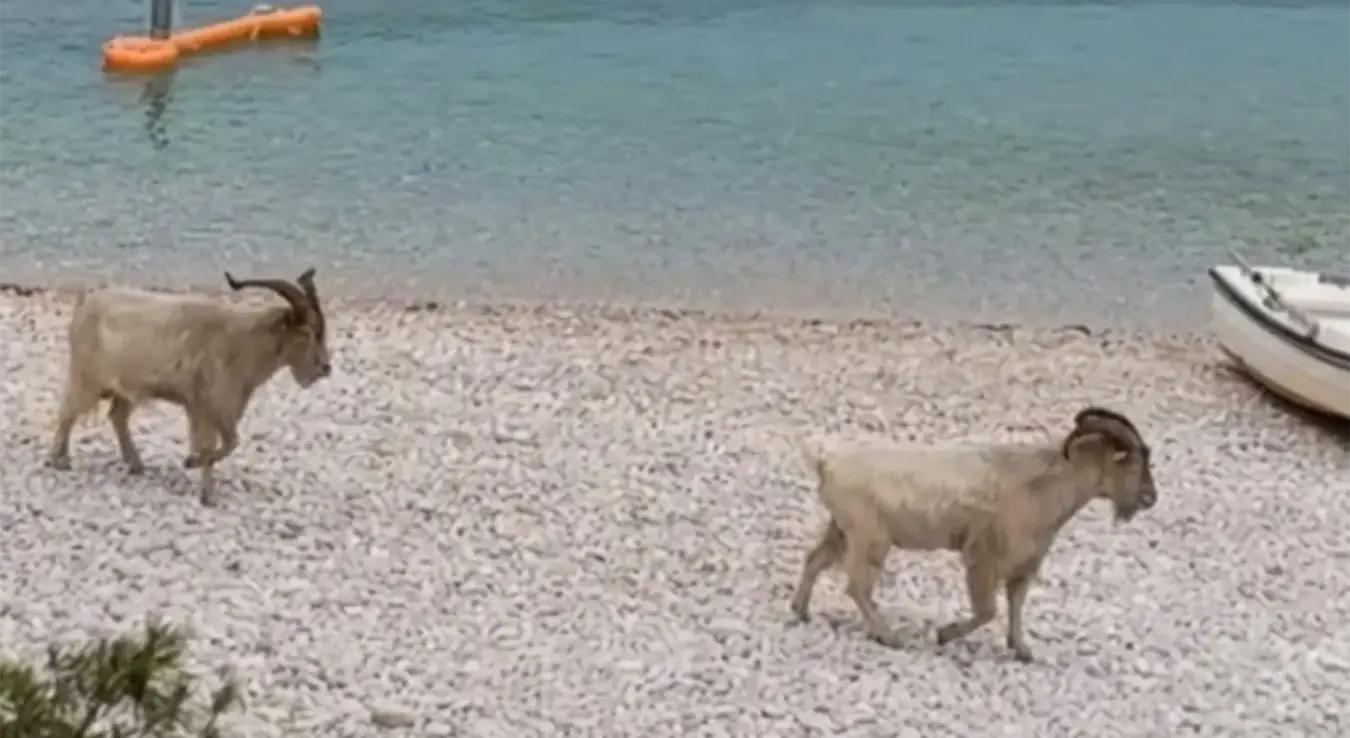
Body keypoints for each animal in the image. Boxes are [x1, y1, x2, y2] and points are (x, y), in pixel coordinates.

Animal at [45, 269, 332, 506]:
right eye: (306, 330)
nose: (325, 367)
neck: (242, 343)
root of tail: (84, 307)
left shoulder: (222, 407)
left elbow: (229, 442)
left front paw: (192, 463)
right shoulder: (207, 404)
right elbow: (213, 443)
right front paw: (205, 490)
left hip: (124, 389)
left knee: (116, 416)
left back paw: (135, 463)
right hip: (86, 377)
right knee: (68, 412)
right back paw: (57, 460)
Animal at [790, 406, 1158, 662]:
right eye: (1131, 461)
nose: (1150, 498)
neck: (1042, 484)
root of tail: (826, 460)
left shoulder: (1026, 563)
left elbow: (1015, 605)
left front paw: (1022, 650)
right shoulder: (984, 556)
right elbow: (987, 611)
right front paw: (943, 634)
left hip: (842, 528)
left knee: (816, 559)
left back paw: (801, 611)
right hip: (870, 536)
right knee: (857, 585)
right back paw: (888, 635)